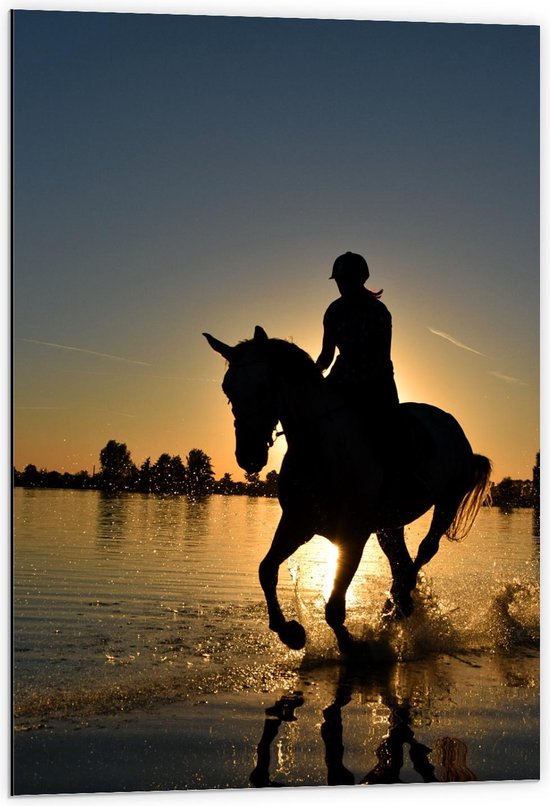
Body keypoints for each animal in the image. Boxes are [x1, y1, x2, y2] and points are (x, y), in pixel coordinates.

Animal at [205, 326, 494, 652]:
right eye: (227, 389)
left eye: (264, 388)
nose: (249, 456)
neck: (321, 448)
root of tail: (451, 425)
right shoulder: (297, 524)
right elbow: (266, 571)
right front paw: (290, 632)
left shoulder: (353, 535)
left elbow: (334, 606)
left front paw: (352, 647)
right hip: (389, 525)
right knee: (400, 561)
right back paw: (396, 607)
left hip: (447, 502)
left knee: (424, 551)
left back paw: (398, 604)